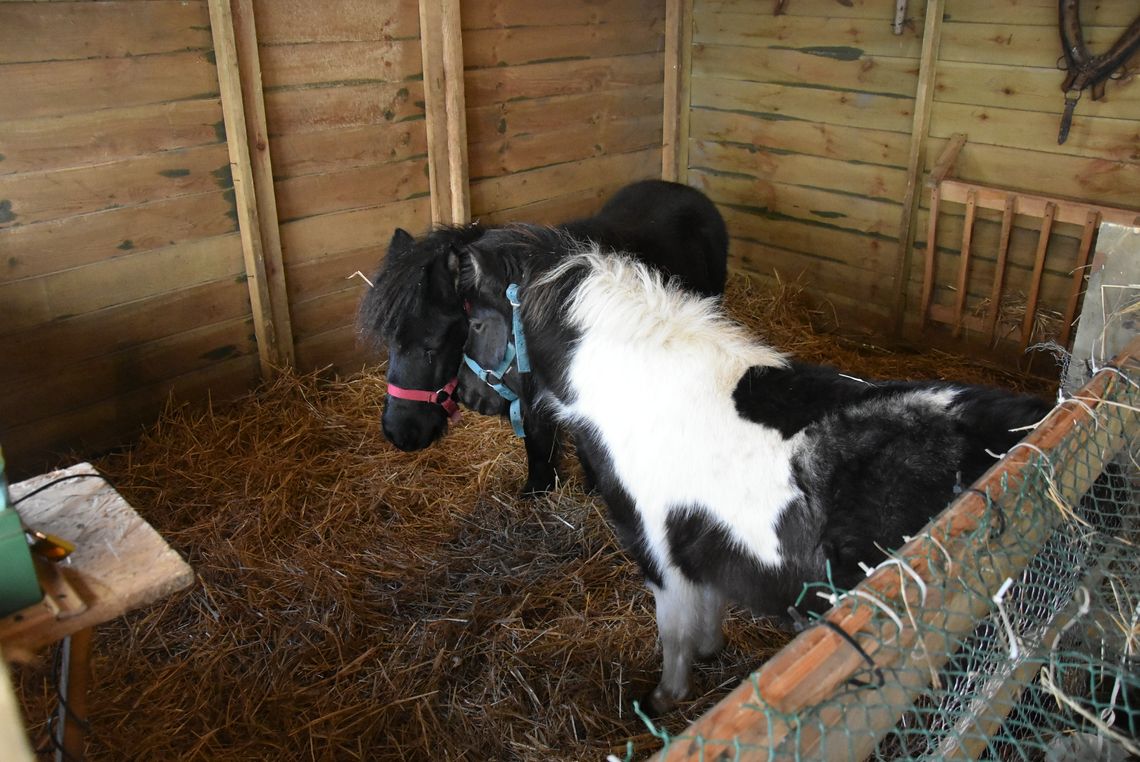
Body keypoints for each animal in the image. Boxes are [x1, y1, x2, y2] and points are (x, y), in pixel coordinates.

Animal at [355, 179, 729, 495]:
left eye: (432, 346)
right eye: (389, 342)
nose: (398, 433)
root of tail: (686, 190)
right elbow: (536, 440)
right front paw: (538, 488)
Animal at [453, 233, 1048, 716]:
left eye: (476, 323)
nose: (465, 397)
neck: (644, 391)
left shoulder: (657, 550)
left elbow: (673, 633)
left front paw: (663, 699)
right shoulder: (705, 540)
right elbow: (710, 605)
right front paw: (710, 651)